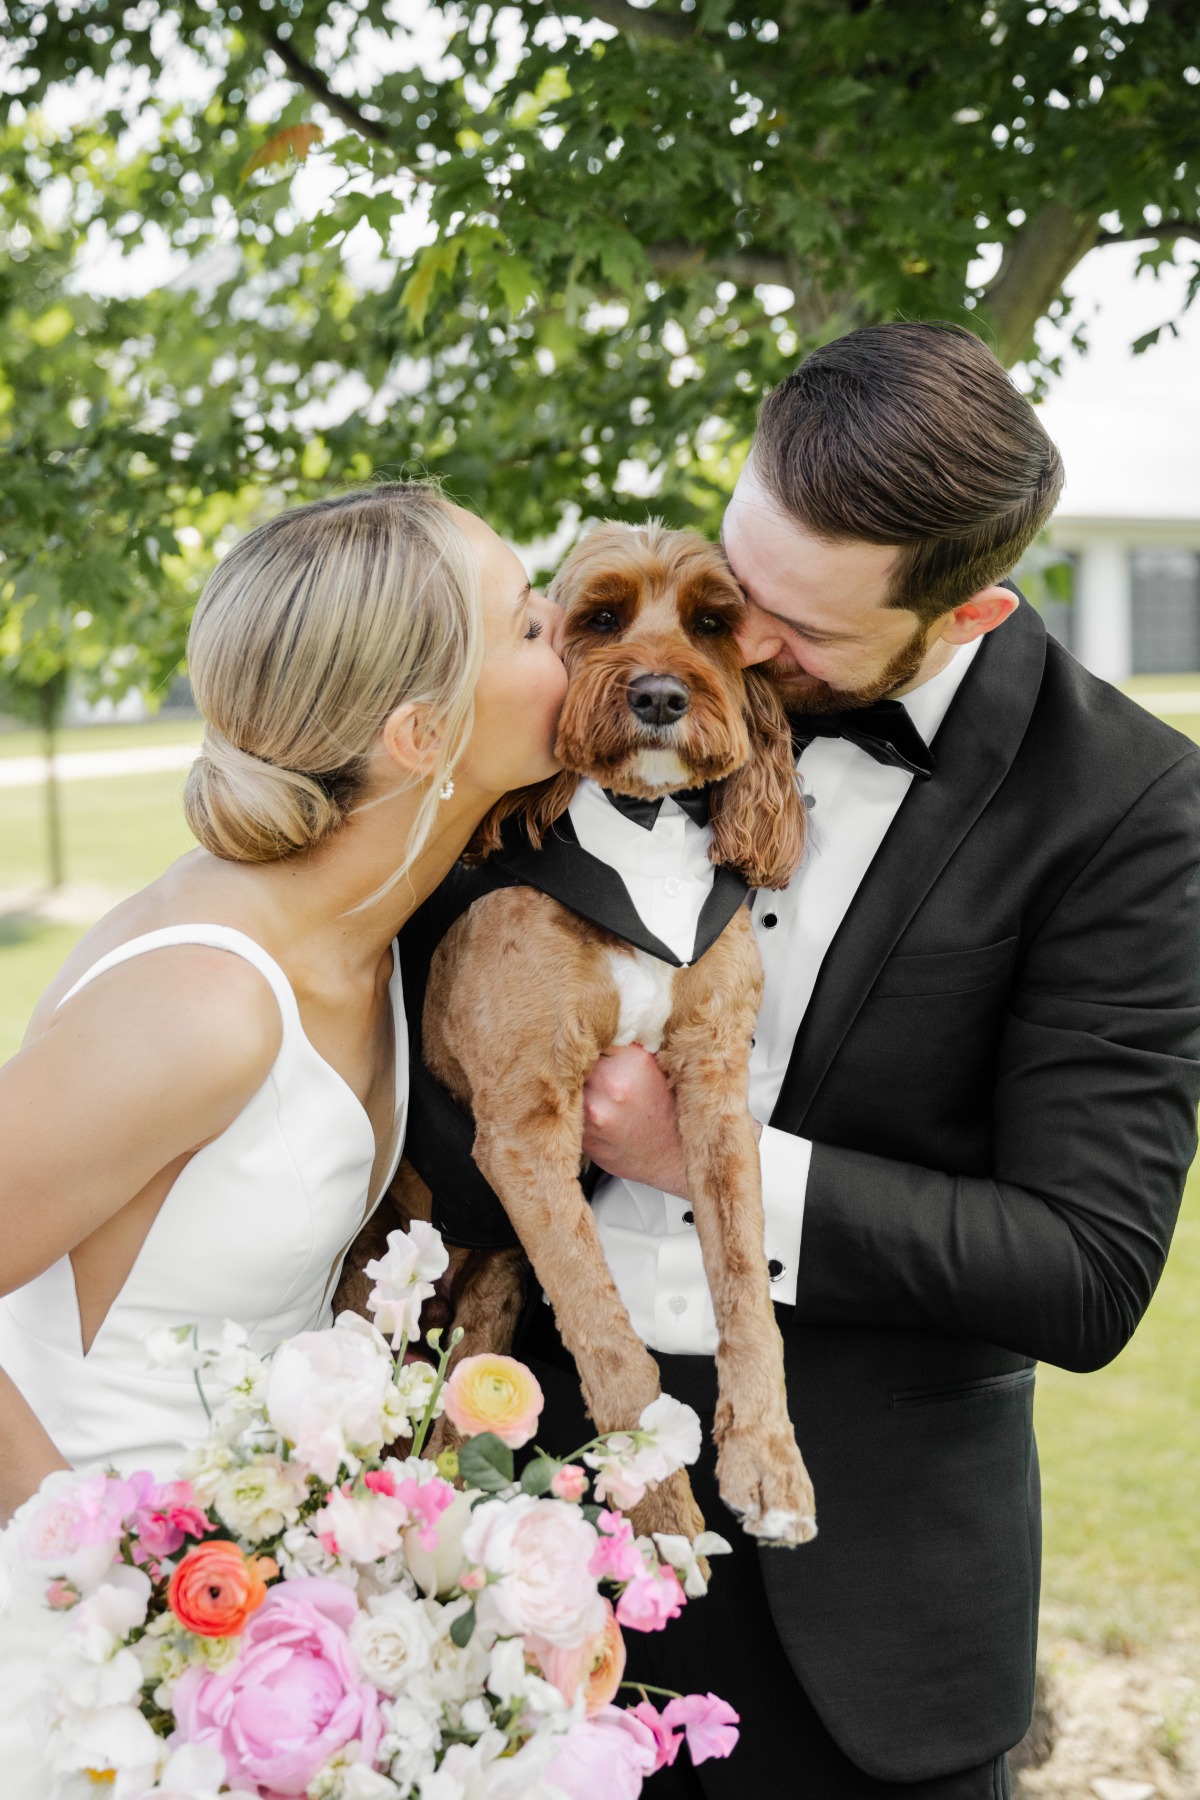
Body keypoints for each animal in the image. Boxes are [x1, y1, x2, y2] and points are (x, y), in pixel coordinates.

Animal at [341, 522, 820, 1548]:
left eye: (713, 624)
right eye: (600, 619)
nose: (660, 696)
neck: (645, 833)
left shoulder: (714, 1086)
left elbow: (743, 1280)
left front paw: (768, 1463)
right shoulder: (525, 1125)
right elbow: (608, 1334)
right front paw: (664, 1511)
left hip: (486, 1309)